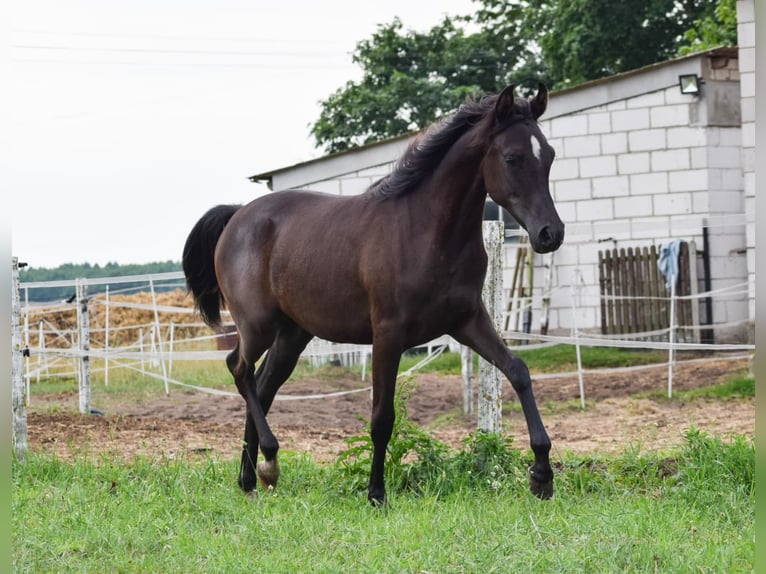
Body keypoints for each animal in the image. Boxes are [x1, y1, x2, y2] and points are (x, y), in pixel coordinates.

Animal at [182, 83, 564, 505]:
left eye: (549, 156)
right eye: (512, 158)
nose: (550, 233)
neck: (427, 232)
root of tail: (237, 215)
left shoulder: (468, 322)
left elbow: (518, 371)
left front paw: (542, 475)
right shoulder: (388, 335)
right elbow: (382, 417)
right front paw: (376, 492)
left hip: (292, 335)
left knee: (262, 388)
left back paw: (251, 478)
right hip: (257, 325)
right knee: (239, 368)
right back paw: (269, 459)